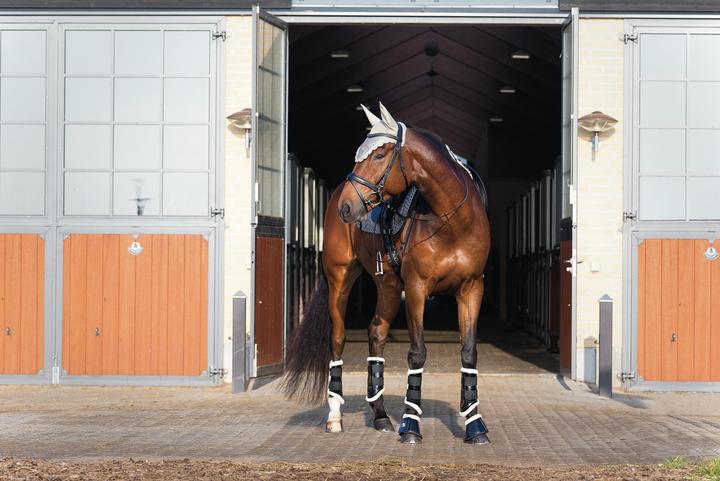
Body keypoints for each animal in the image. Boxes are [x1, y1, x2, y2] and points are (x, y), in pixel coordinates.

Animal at [283, 102, 491, 444]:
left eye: (379, 155)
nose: (346, 207)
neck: (451, 220)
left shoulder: (471, 289)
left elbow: (469, 353)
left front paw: (475, 425)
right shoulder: (418, 289)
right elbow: (417, 354)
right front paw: (411, 425)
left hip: (389, 288)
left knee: (377, 333)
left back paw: (380, 416)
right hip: (341, 279)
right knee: (337, 339)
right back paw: (335, 417)